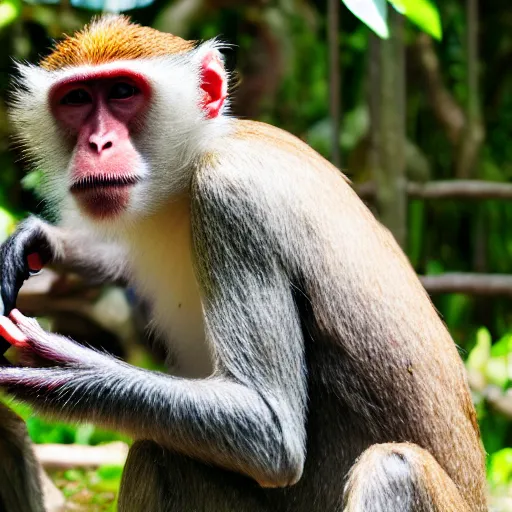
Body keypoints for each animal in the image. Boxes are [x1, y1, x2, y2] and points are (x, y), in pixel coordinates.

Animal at [0, 16, 488, 512]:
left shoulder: (229, 196)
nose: (98, 143)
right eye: (76, 98)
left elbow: (272, 434)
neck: (197, 155)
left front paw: (56, 366)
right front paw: (42, 241)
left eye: (122, 91)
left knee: (392, 468)